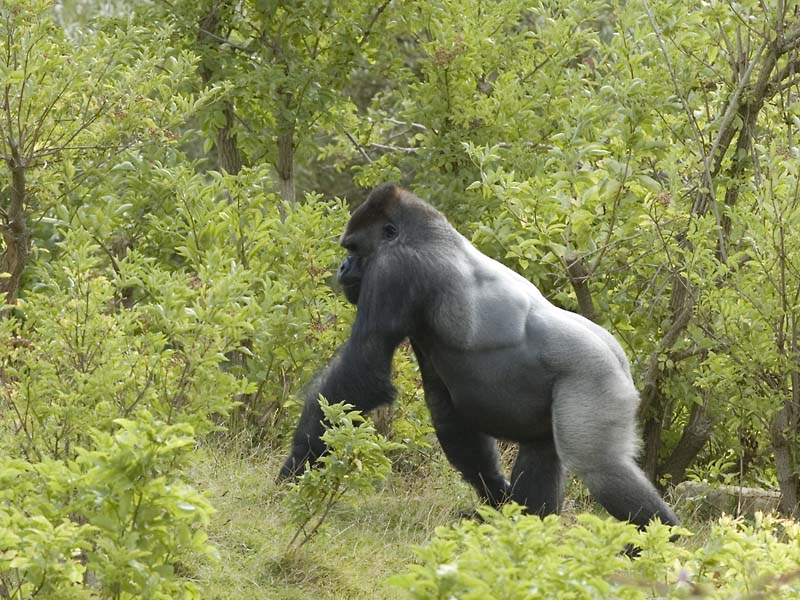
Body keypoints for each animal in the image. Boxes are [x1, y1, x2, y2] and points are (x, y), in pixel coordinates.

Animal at [279, 183, 679, 528]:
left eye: (353, 249)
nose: (342, 268)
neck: (426, 234)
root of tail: (618, 356)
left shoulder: (395, 270)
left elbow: (361, 373)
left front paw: (294, 470)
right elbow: (447, 413)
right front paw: (497, 498)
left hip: (596, 377)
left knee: (601, 468)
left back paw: (667, 542)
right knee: (543, 447)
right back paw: (529, 530)